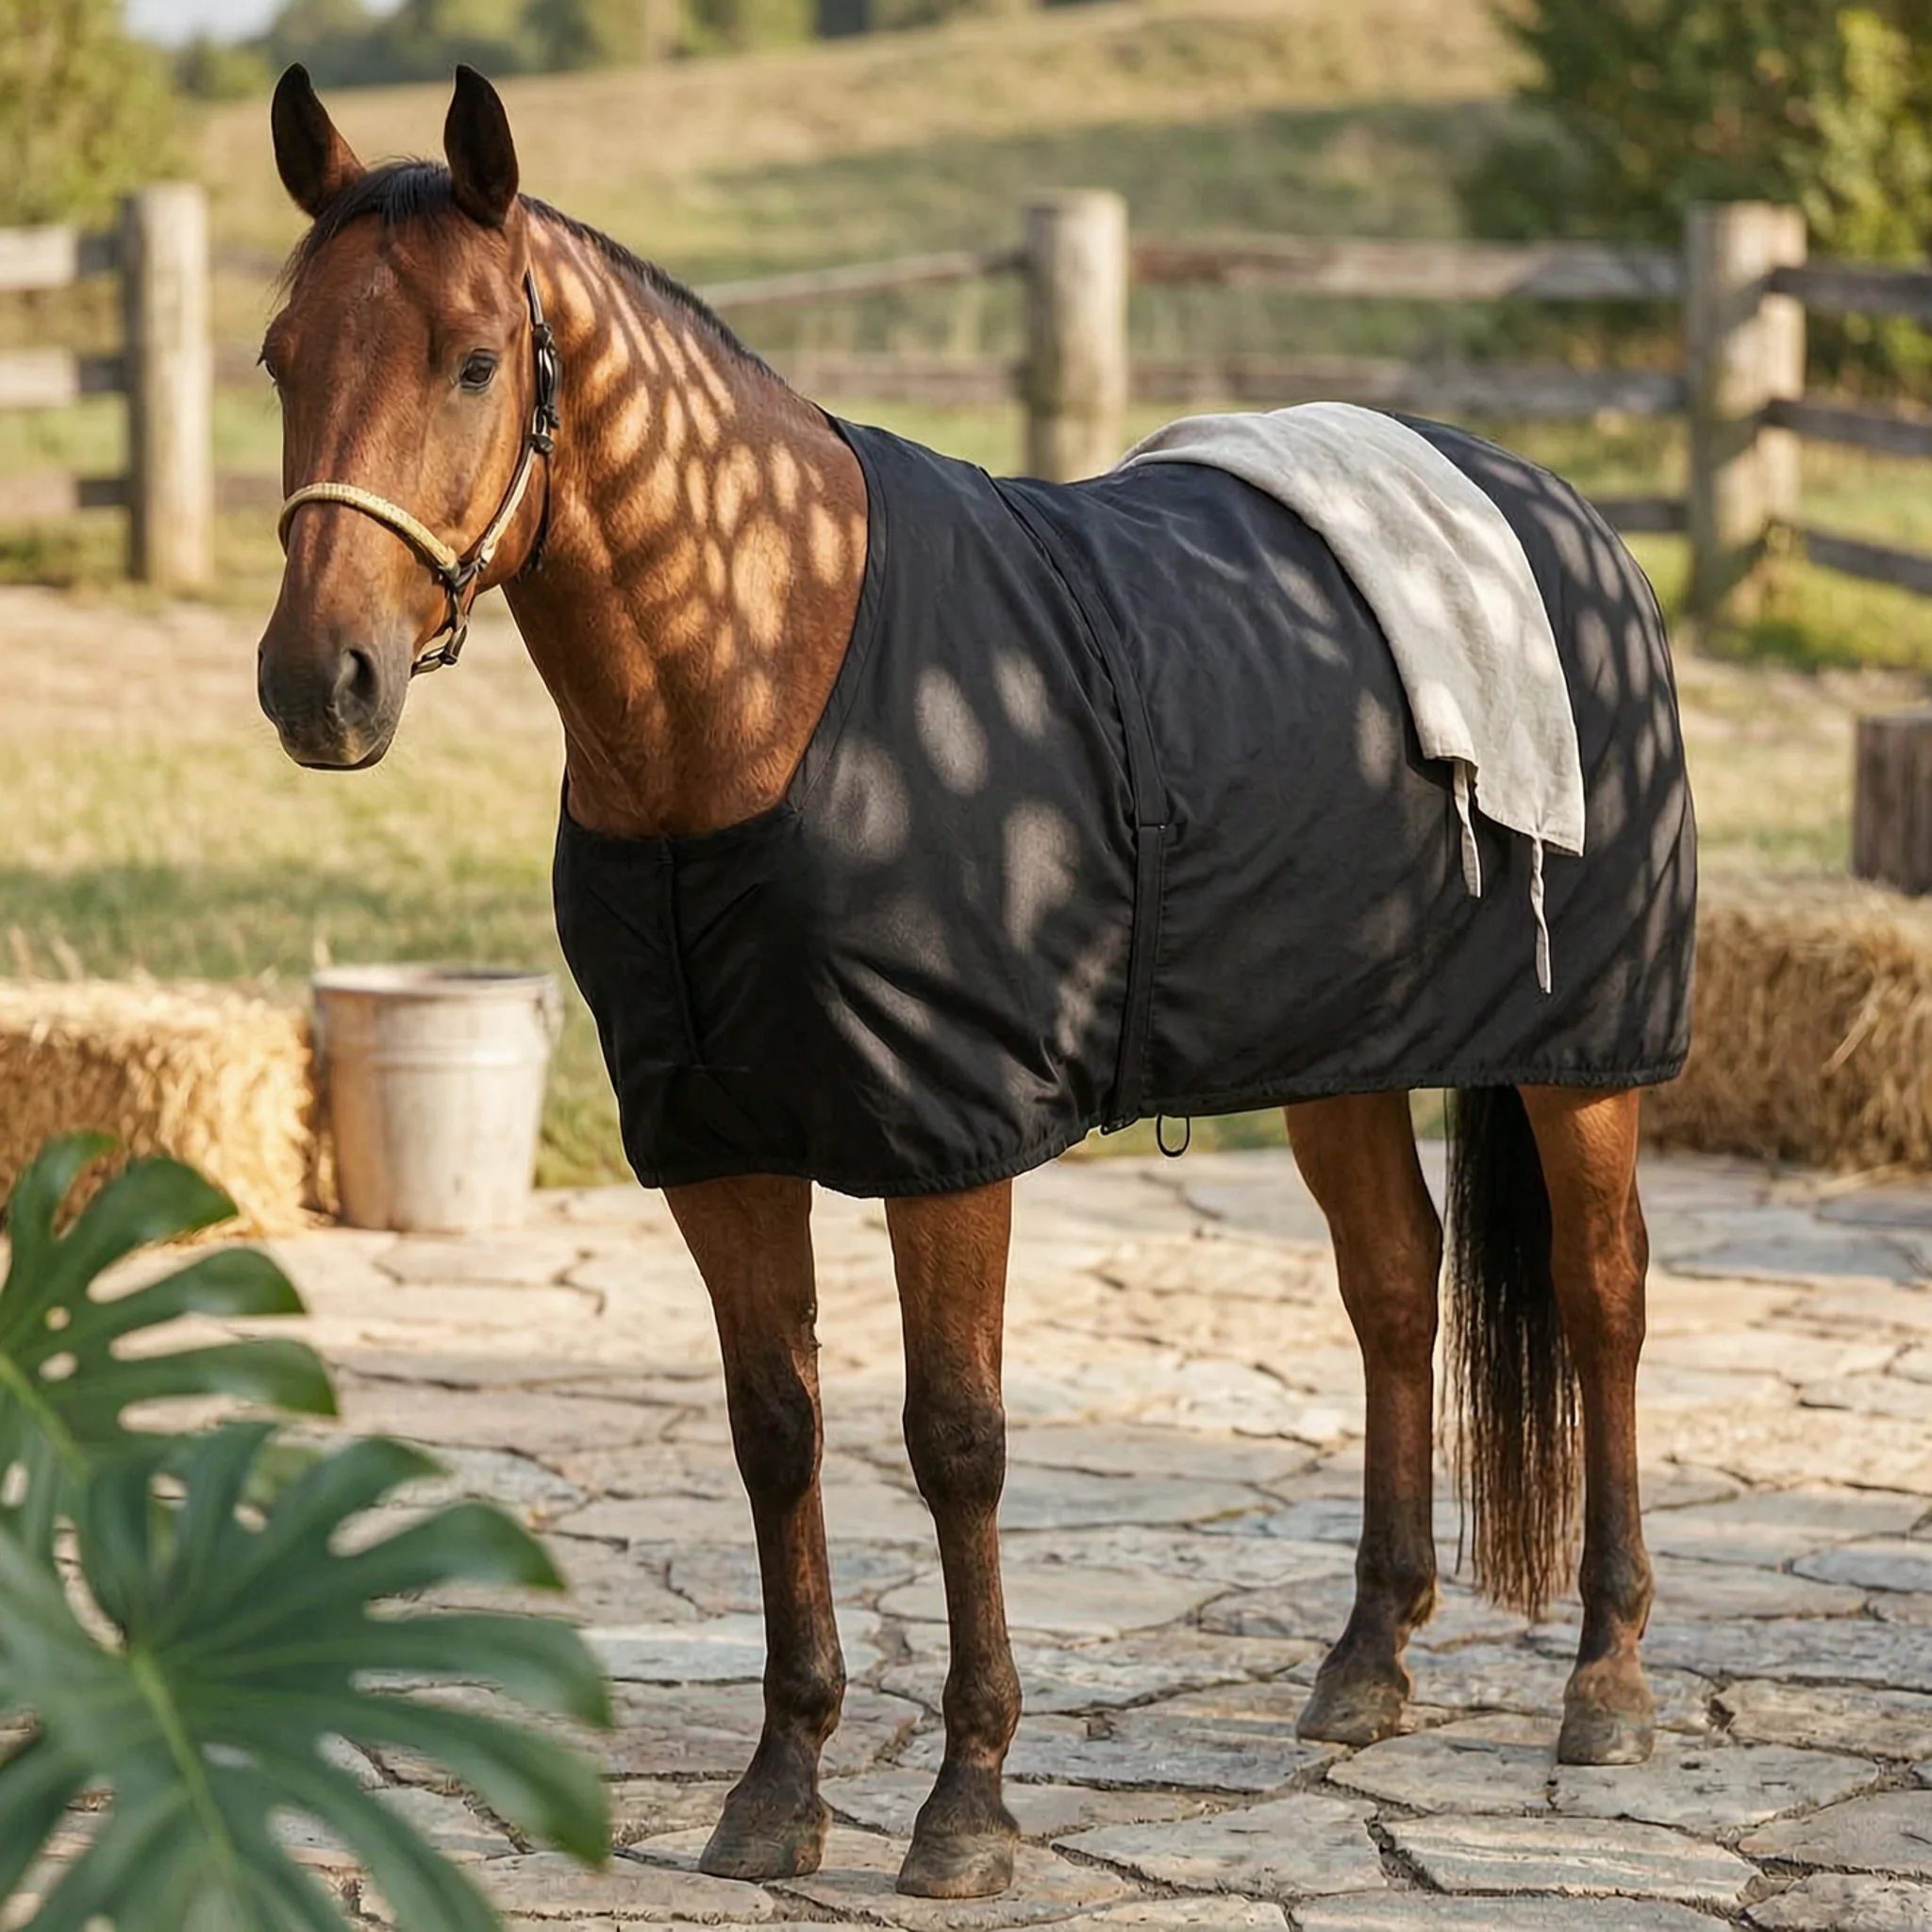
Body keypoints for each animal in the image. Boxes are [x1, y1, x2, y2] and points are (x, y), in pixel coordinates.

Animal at [257, 64, 1695, 1901]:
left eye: (470, 358)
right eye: (281, 357)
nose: (322, 682)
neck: (768, 681)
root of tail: (1564, 516)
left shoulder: (949, 1133)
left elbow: (955, 1437)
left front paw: (966, 1801)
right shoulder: (715, 1140)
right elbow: (775, 1429)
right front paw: (780, 1784)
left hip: (1584, 1057)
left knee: (1602, 1299)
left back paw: (1608, 1679)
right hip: (1335, 1047)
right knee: (1393, 1284)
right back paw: (1367, 1658)